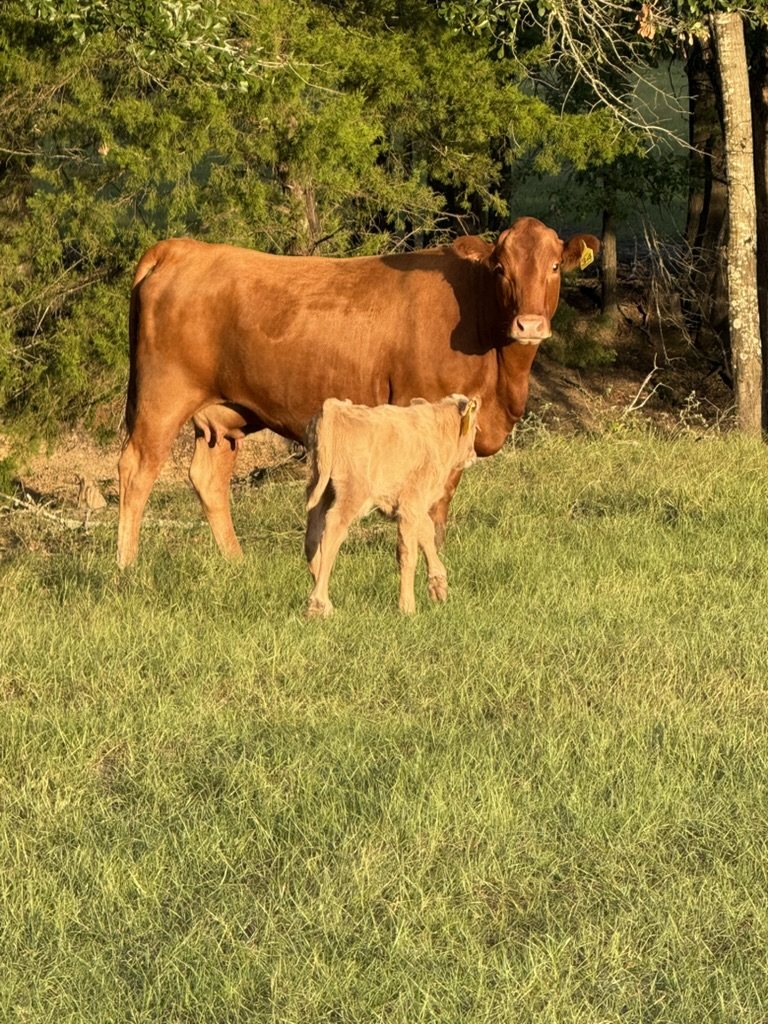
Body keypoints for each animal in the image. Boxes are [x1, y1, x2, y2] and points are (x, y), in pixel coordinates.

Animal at [117, 216, 600, 568]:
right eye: (502, 268)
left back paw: (237, 563)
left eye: (554, 267)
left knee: (208, 479)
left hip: (223, 414)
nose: (529, 325)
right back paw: (127, 567)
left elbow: (440, 505)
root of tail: (184, 248)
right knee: (136, 471)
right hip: (162, 398)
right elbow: (429, 505)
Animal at [304, 395, 480, 616]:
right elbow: (408, 553)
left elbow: (426, 532)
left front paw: (438, 585)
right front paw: (407, 607)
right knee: (333, 531)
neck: (437, 432)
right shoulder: (410, 505)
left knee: (312, 534)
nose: (473, 455)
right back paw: (320, 603)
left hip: (321, 487)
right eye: (475, 428)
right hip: (352, 493)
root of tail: (333, 408)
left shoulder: (413, 505)